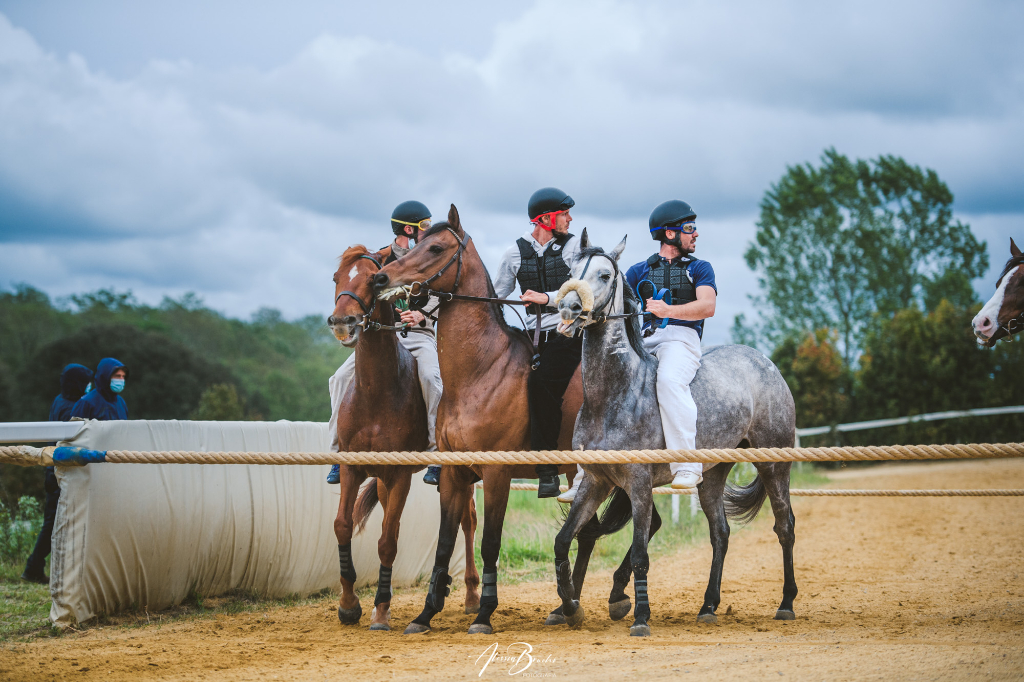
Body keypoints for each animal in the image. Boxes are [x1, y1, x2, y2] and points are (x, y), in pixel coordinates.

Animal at [331, 242, 483, 626]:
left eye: (372, 279)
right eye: (337, 278)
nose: (342, 323)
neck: (376, 390)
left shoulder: (399, 474)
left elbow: (388, 540)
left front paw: (382, 610)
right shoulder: (354, 469)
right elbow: (343, 525)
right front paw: (350, 604)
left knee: (467, 522)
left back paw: (472, 595)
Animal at [370, 202, 581, 630]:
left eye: (435, 248)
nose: (382, 277)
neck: (480, 371)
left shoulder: (497, 474)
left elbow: (489, 542)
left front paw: (484, 611)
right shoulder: (454, 474)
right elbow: (445, 542)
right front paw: (426, 612)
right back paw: (567, 606)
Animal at [552, 231, 798, 634]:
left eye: (605, 275)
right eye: (571, 272)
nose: (569, 308)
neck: (613, 395)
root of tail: (765, 363)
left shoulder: (637, 484)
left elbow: (640, 552)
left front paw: (639, 616)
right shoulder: (596, 481)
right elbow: (563, 541)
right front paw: (571, 607)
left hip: (773, 465)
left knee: (784, 526)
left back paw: (787, 602)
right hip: (711, 476)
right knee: (720, 533)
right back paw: (709, 605)